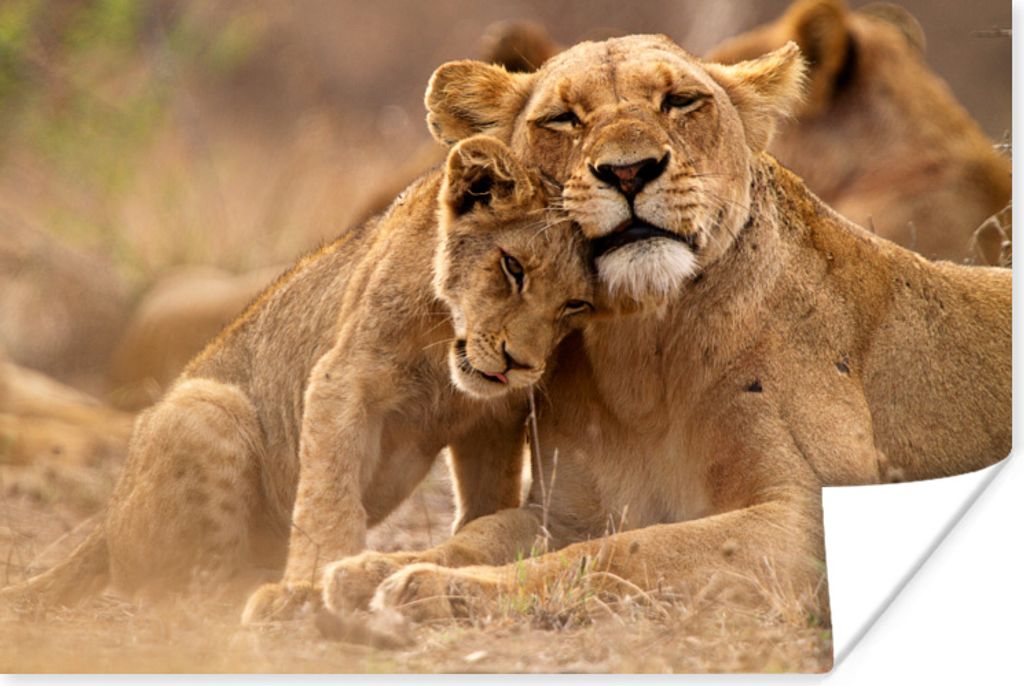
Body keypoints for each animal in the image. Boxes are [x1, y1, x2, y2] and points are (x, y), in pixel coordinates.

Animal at [0, 136, 594, 621]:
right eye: (513, 268)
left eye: (576, 305)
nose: (520, 364)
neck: (444, 351)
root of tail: (103, 523)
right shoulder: (341, 381)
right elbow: (328, 497)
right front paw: (310, 586)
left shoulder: (493, 418)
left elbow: (487, 502)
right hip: (206, 406)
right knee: (183, 591)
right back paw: (254, 593)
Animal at [318, 36, 1010, 646]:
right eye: (563, 118)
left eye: (679, 101)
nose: (629, 171)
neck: (640, 354)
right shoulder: (563, 512)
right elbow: (482, 534)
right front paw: (369, 570)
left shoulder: (803, 515)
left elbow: (628, 551)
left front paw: (436, 591)